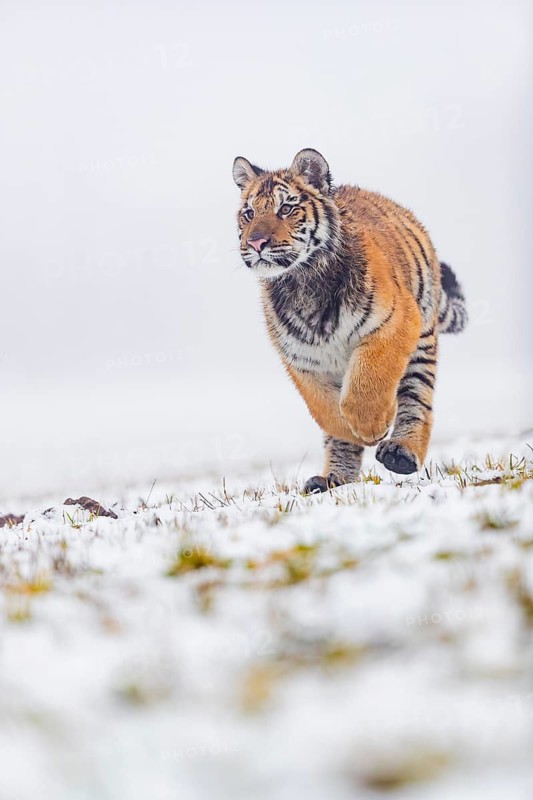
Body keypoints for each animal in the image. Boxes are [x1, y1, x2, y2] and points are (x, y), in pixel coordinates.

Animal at [232, 149, 467, 493]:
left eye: (286, 208)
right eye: (248, 214)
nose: (255, 243)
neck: (302, 281)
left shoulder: (393, 322)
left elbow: (368, 381)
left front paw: (371, 425)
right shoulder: (302, 359)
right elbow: (325, 411)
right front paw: (352, 430)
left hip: (422, 340)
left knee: (417, 401)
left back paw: (401, 453)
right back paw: (333, 479)